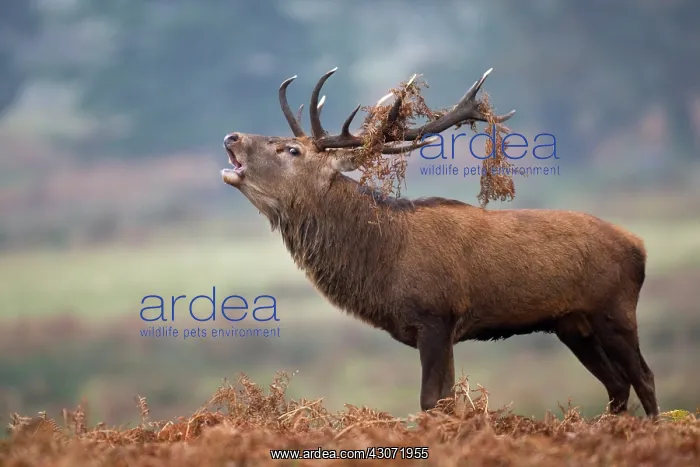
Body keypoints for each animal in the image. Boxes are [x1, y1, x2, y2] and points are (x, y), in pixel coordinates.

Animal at [220, 67, 659, 418]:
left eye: (291, 149)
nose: (232, 136)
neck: (382, 263)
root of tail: (639, 245)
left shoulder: (435, 315)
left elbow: (432, 401)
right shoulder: (439, 330)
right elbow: (447, 399)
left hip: (614, 309)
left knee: (644, 376)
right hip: (573, 325)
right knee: (617, 384)